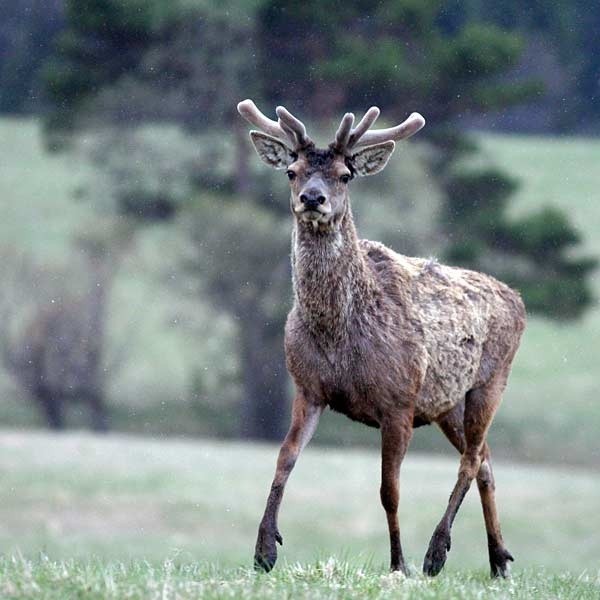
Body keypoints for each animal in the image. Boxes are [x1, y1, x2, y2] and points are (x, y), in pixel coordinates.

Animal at [237, 98, 528, 576]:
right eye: (291, 171)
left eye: (345, 175)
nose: (312, 198)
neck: (338, 334)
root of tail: (518, 299)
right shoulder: (307, 388)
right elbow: (284, 458)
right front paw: (264, 550)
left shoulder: (398, 402)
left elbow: (389, 490)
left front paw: (399, 563)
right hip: (446, 402)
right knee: (485, 460)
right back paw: (499, 560)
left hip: (491, 380)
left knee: (471, 459)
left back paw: (436, 553)